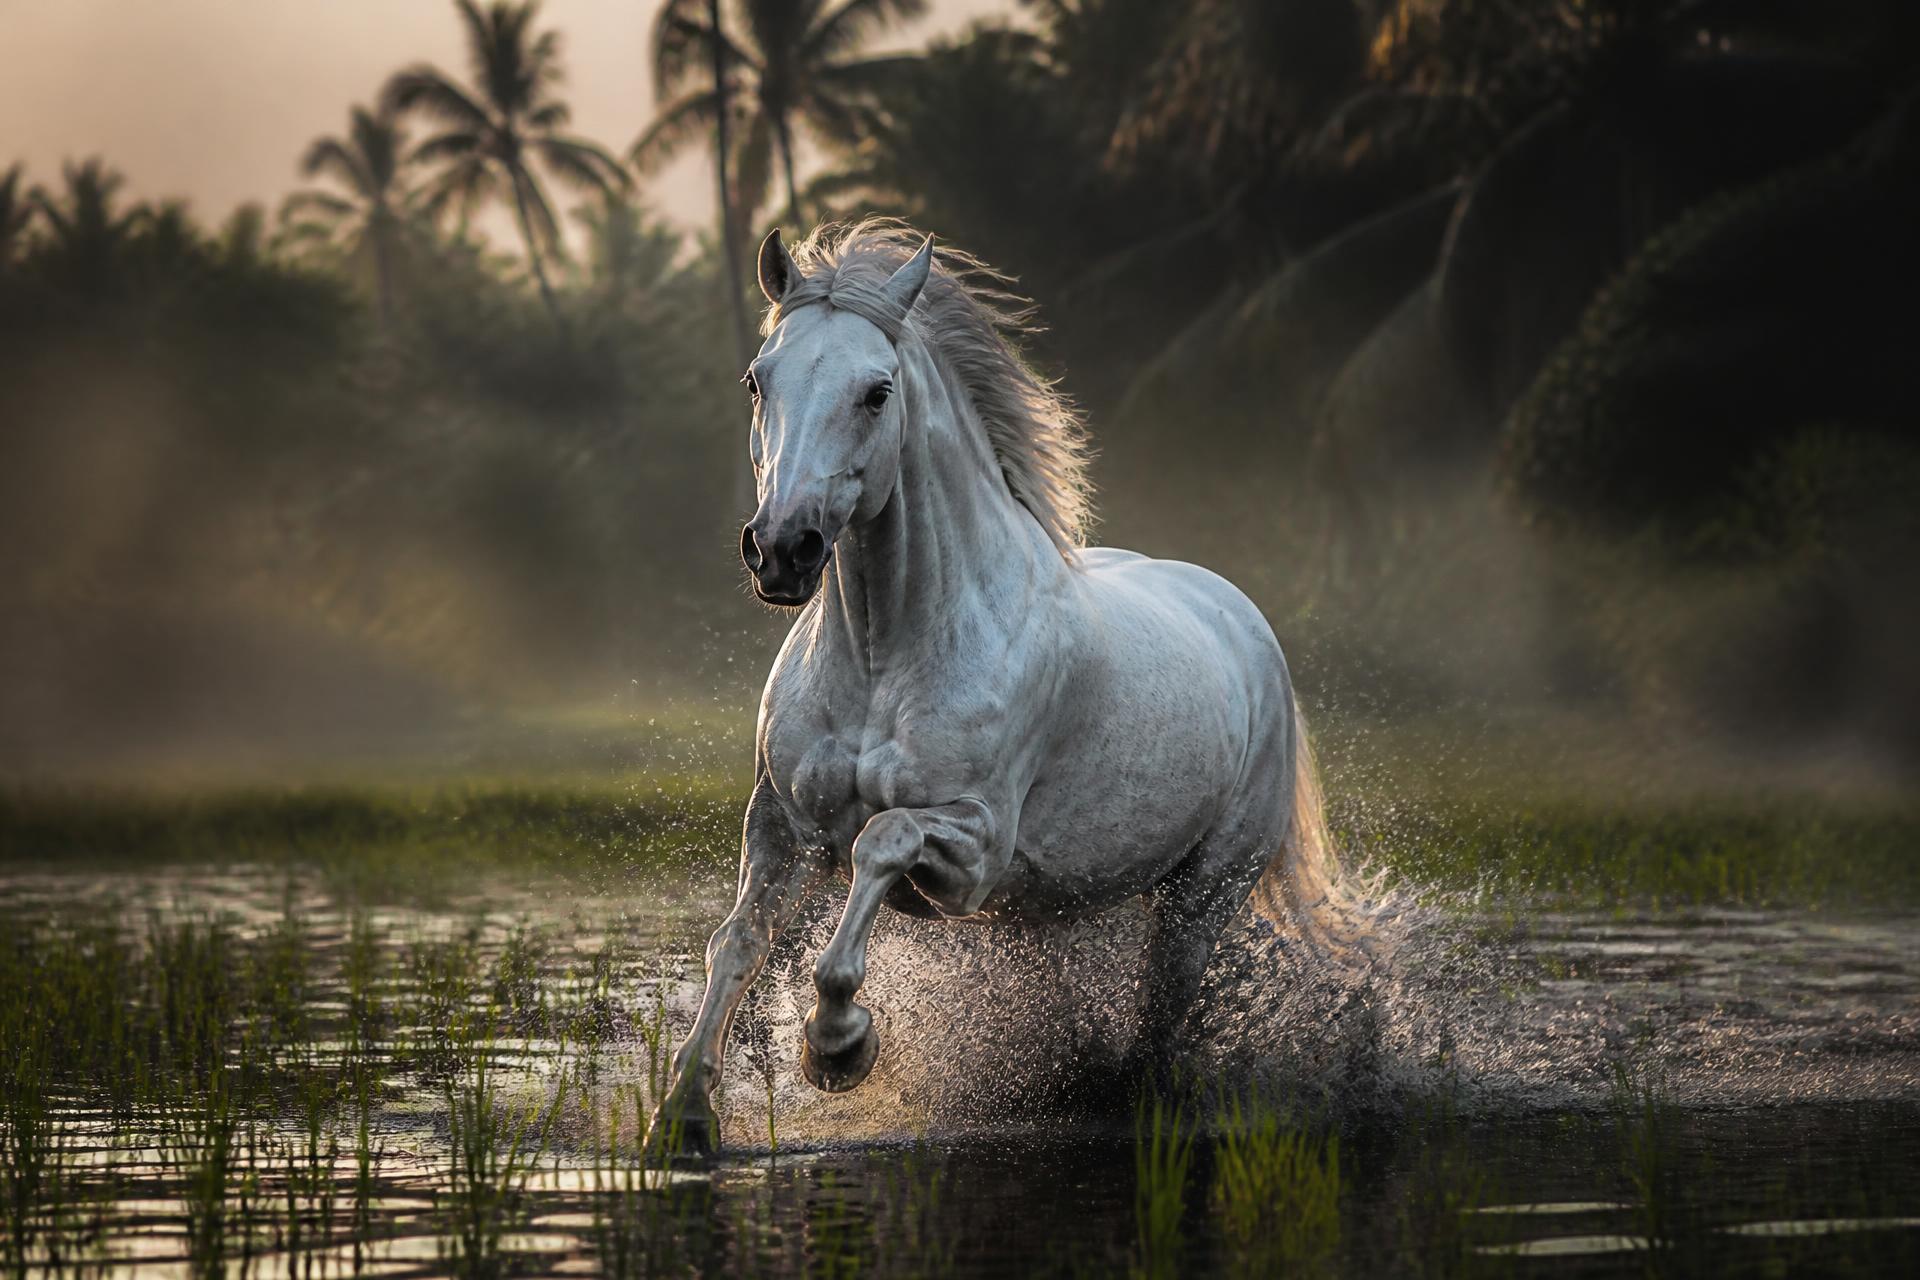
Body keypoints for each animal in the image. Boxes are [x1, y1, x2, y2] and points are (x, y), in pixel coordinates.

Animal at [647, 221, 1370, 1155]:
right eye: (756, 379)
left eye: (877, 392)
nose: (782, 549)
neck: (886, 656)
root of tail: (1245, 625)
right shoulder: (783, 825)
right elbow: (737, 941)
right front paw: (682, 1115)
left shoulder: (975, 851)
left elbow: (881, 841)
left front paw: (839, 1050)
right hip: (1064, 905)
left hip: (1203, 893)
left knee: (1162, 1012)